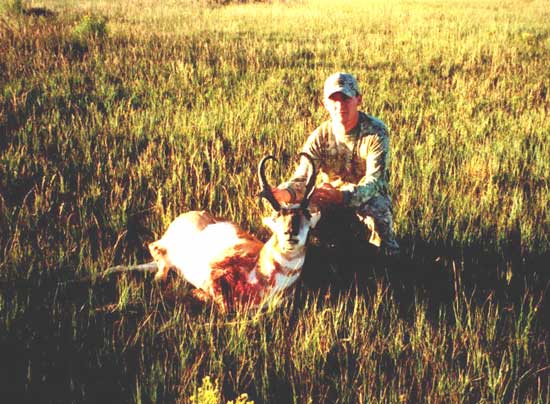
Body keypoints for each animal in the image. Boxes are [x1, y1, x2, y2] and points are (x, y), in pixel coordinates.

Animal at [149, 154, 322, 310]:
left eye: (307, 217)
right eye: (277, 217)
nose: (290, 233)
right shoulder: (214, 274)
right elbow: (224, 305)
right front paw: (197, 293)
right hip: (168, 245)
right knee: (154, 247)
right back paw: (159, 277)